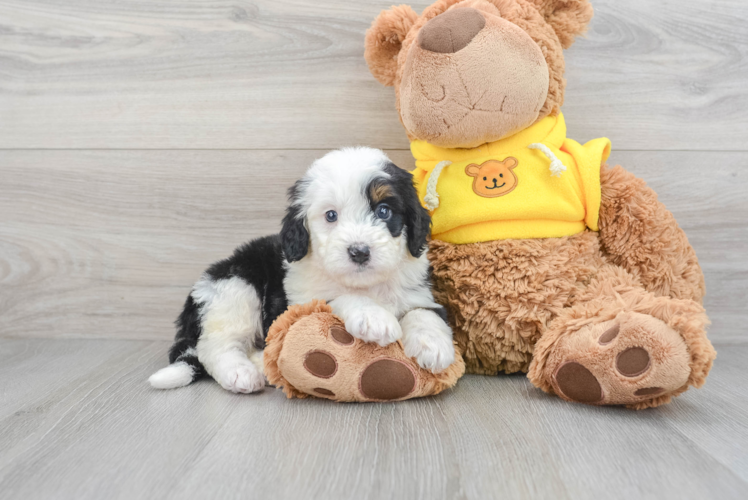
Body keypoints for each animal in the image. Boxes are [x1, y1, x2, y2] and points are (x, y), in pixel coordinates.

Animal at [149, 146, 452, 392]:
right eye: (331, 215)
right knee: (214, 345)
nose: (359, 252)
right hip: (235, 287)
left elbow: (424, 313)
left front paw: (434, 347)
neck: (365, 283)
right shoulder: (301, 300)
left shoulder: (418, 292)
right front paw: (374, 318)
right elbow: (340, 297)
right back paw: (241, 373)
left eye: (384, 211)